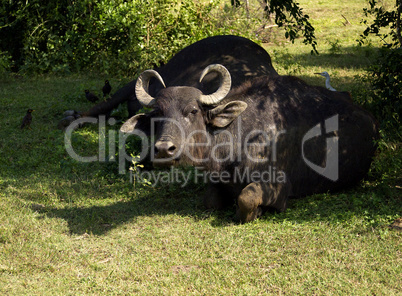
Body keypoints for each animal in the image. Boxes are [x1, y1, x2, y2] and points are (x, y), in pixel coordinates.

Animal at [121, 61, 378, 222]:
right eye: (157, 114)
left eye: (193, 111)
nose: (164, 149)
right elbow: (210, 200)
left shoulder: (279, 186)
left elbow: (246, 198)